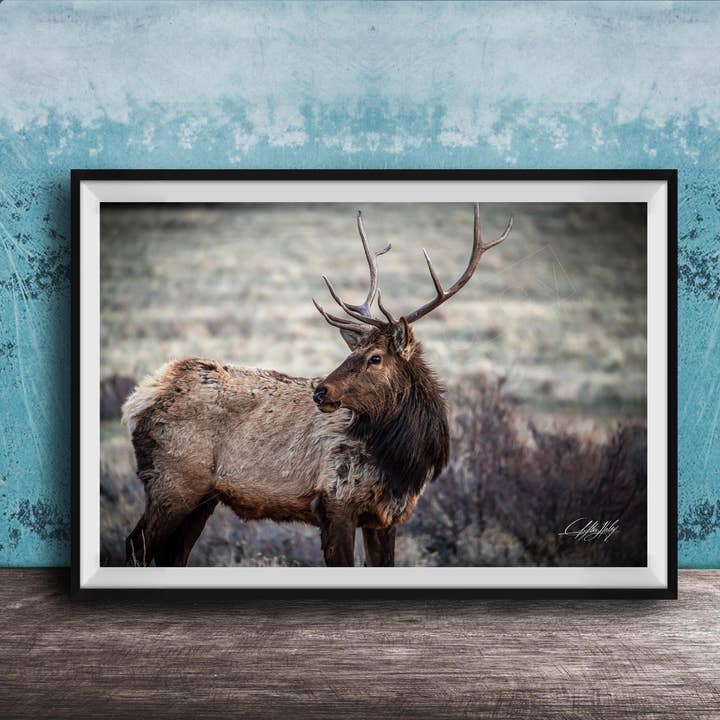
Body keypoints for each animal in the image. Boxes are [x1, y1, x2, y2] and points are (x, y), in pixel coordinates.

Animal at [121, 204, 512, 567]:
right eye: (354, 350)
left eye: (375, 358)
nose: (321, 391)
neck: (403, 462)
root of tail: (141, 397)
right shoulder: (335, 502)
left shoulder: (387, 518)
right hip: (172, 482)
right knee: (134, 545)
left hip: (202, 498)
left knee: (172, 555)